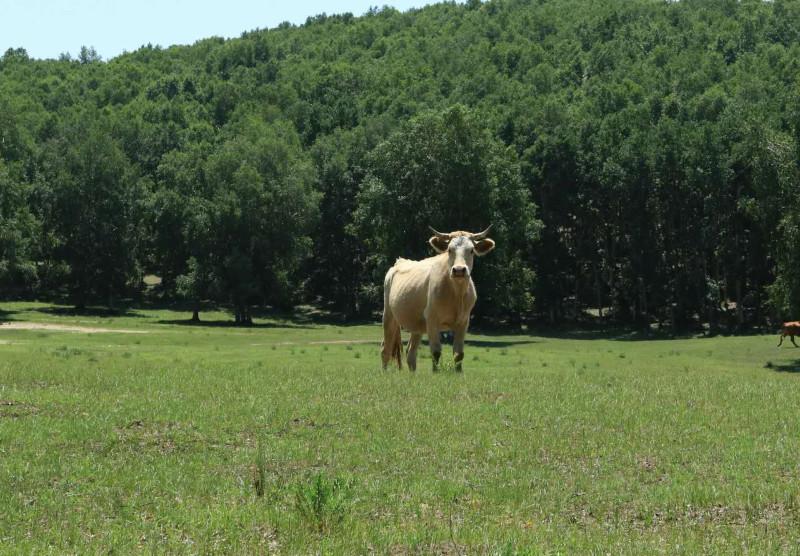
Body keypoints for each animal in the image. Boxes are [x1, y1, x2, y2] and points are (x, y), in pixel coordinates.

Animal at [380, 226, 494, 374]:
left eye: (472, 250)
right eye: (449, 250)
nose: (459, 270)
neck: (456, 294)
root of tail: (400, 261)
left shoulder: (464, 321)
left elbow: (459, 354)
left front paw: (459, 373)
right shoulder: (432, 319)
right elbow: (435, 352)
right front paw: (436, 374)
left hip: (417, 325)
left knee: (410, 352)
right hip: (389, 315)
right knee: (386, 349)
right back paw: (384, 373)